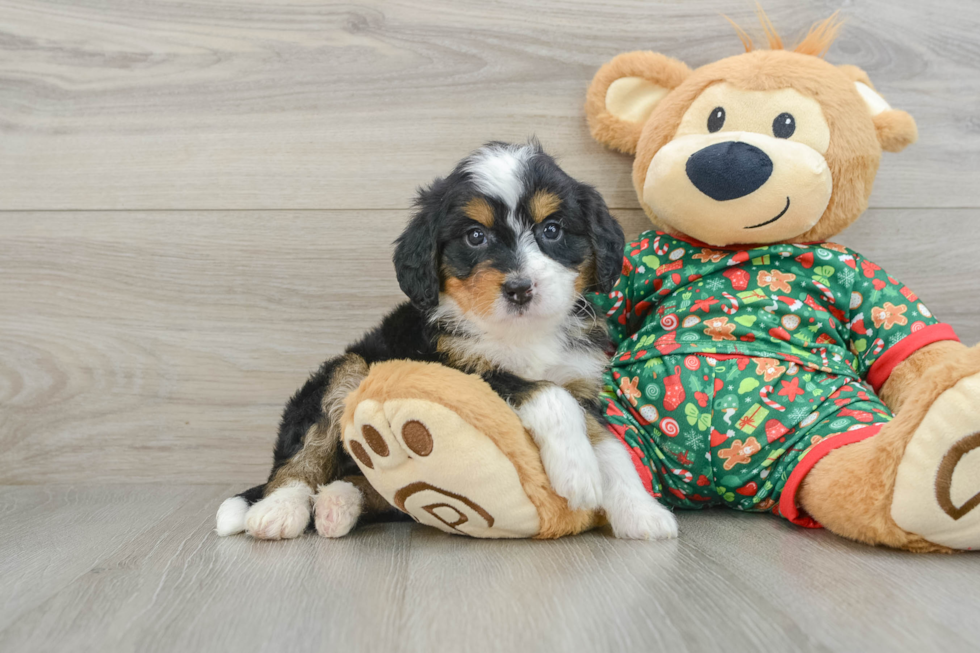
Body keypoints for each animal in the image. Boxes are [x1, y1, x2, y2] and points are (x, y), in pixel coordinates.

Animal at [218, 141, 680, 540]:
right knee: (298, 458)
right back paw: (278, 510)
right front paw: (579, 473)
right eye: (475, 236)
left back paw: (338, 504)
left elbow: (611, 446)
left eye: (552, 229)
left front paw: (641, 512)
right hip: (347, 368)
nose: (519, 288)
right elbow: (548, 393)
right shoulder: (458, 369)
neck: (521, 332)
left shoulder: (581, 382)